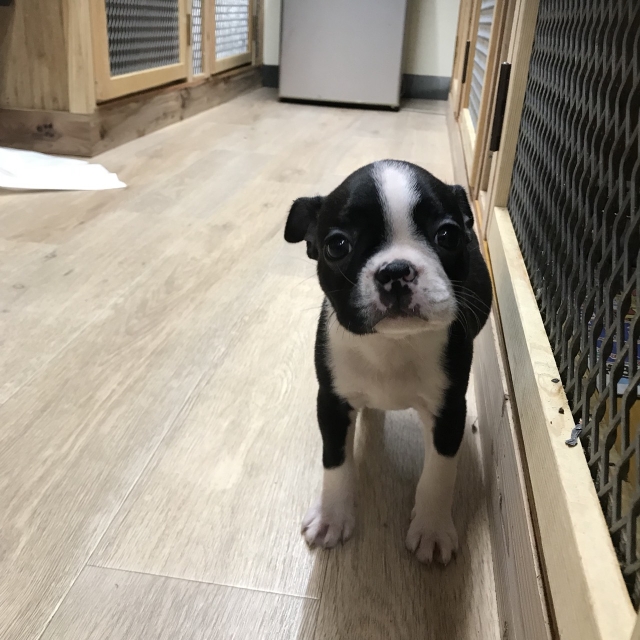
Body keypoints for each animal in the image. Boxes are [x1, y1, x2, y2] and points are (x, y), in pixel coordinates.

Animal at [284, 160, 492, 563]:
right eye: (337, 245)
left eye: (448, 235)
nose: (395, 270)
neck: (391, 344)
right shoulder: (331, 401)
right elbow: (335, 460)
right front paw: (332, 516)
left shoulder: (449, 411)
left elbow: (439, 472)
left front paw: (432, 528)